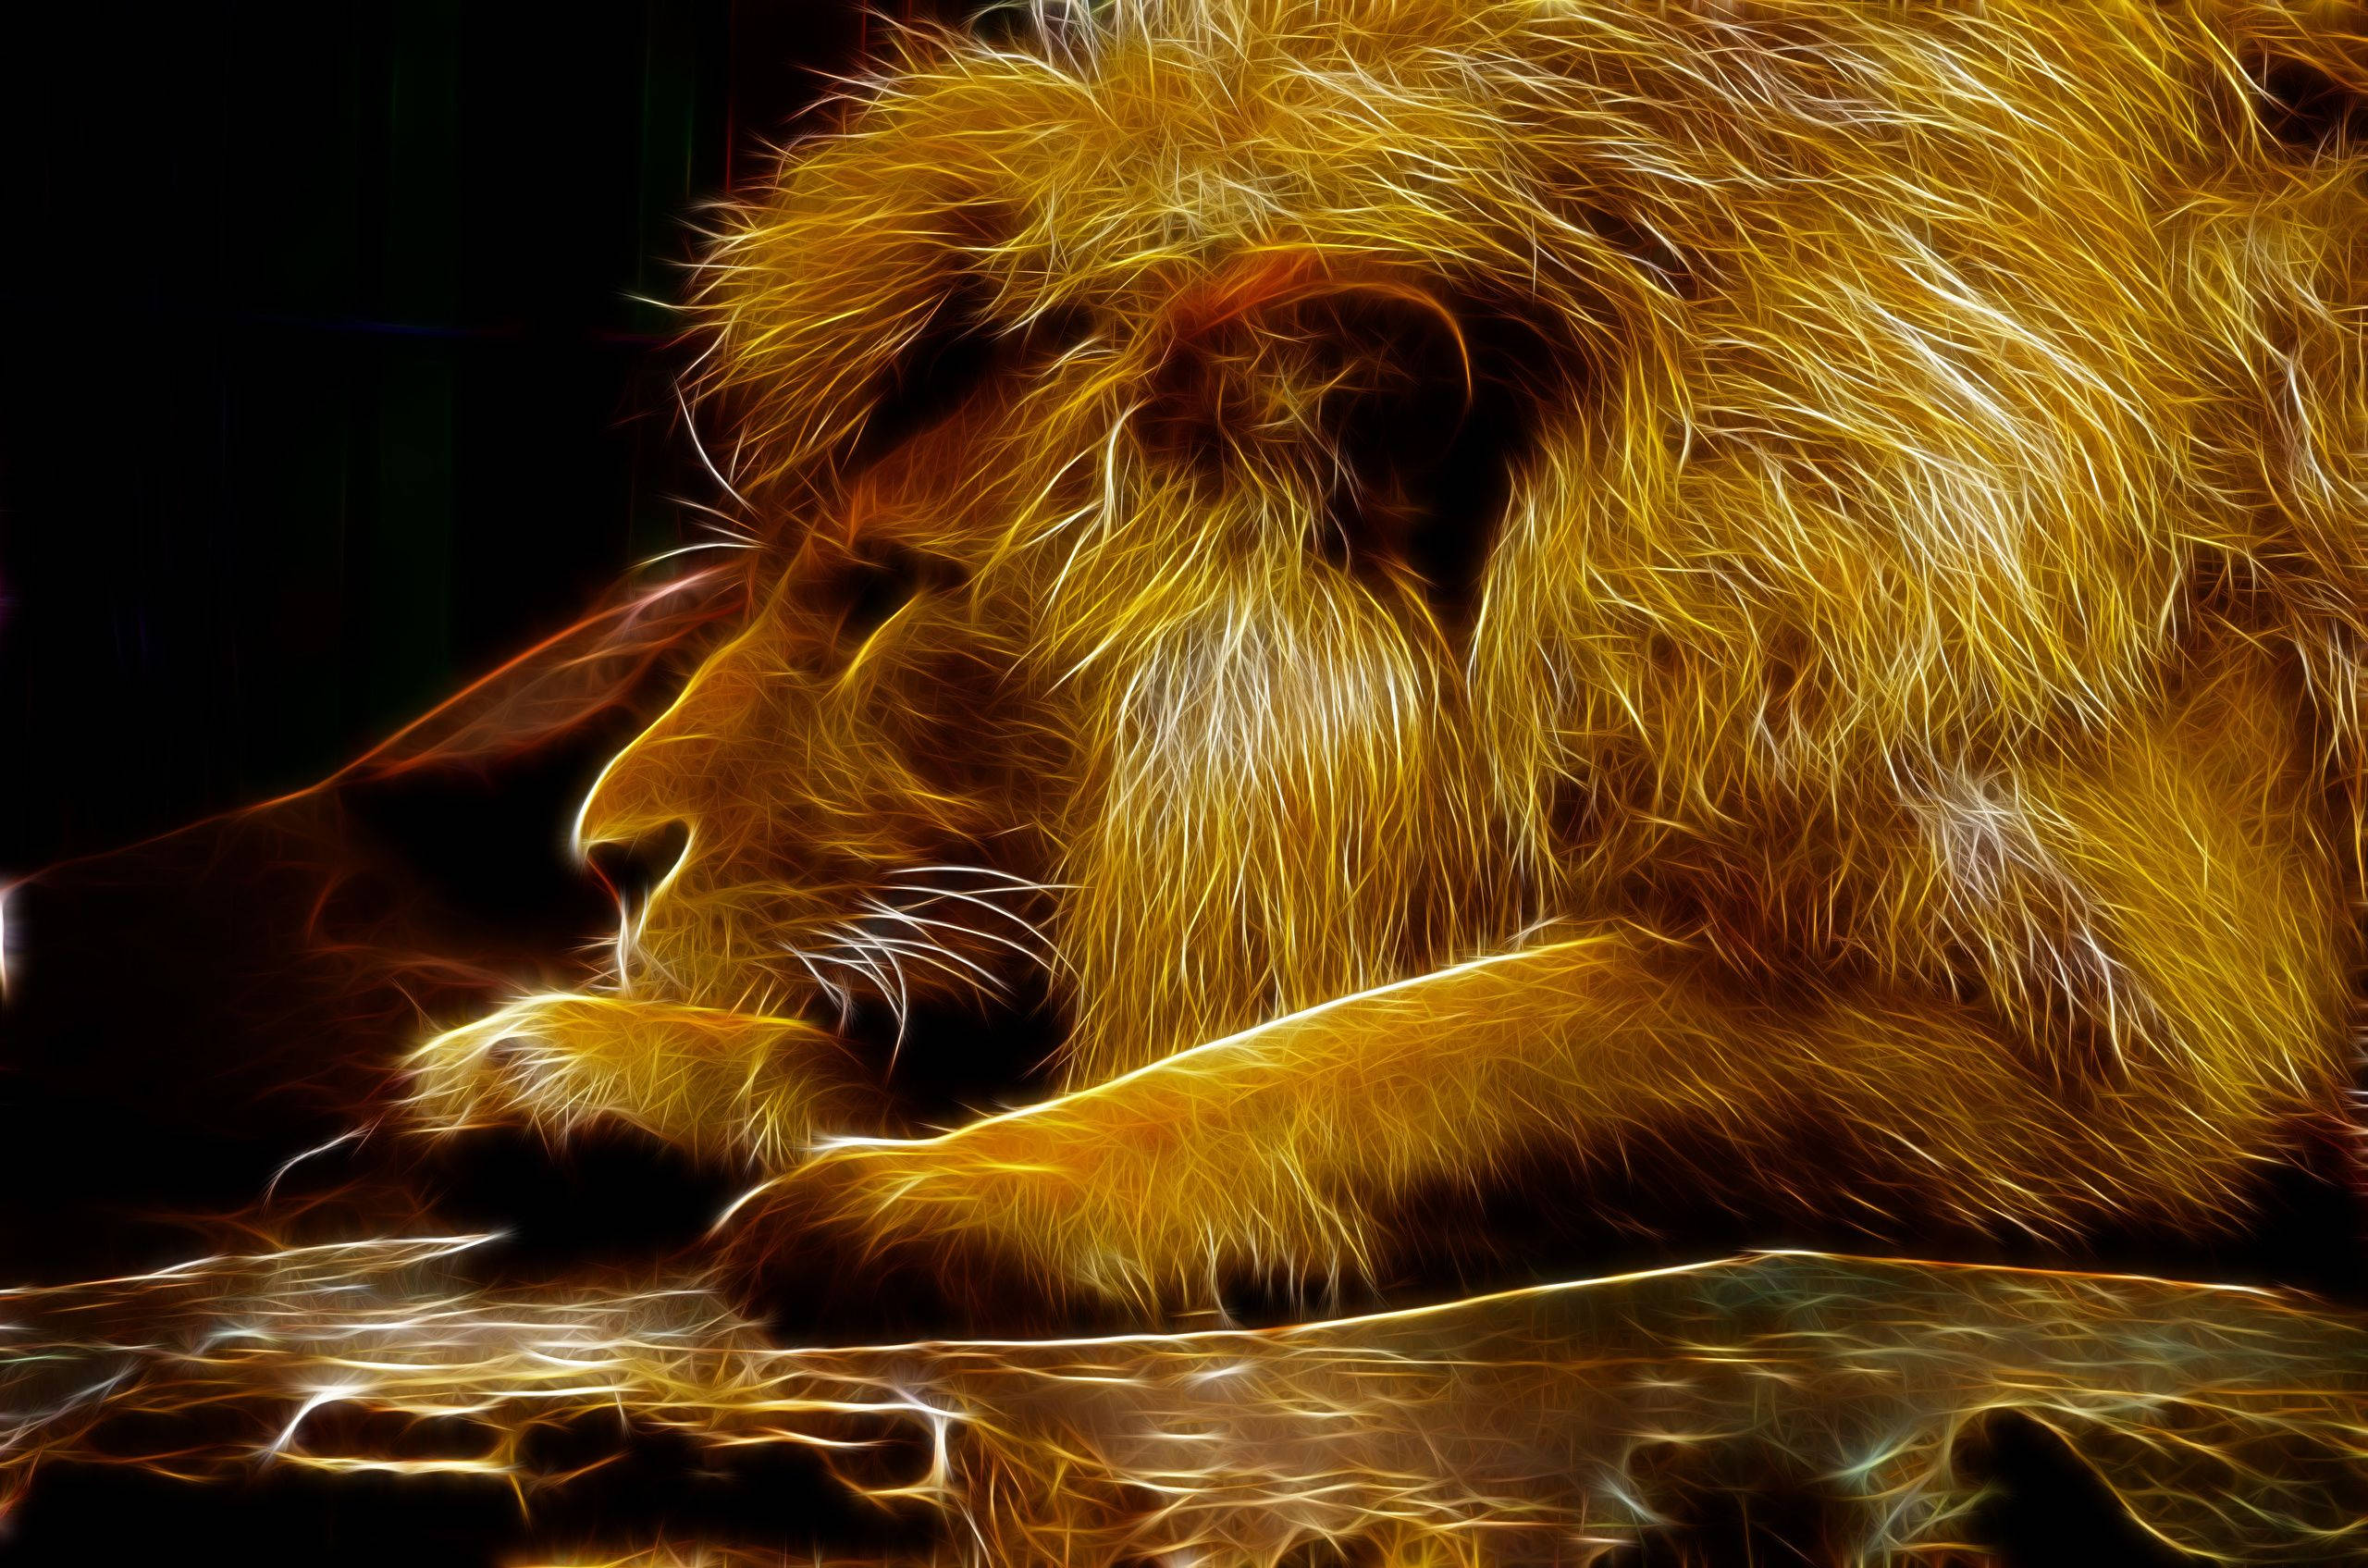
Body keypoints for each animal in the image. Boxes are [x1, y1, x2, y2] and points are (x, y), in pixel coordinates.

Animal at [409, 0, 2368, 1320]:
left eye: (892, 592)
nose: (602, 855)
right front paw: (575, 1068)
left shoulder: (2129, 1024)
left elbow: (1416, 1045)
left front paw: (931, 1202)